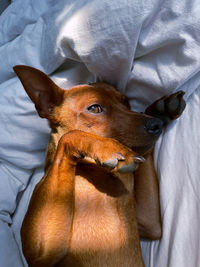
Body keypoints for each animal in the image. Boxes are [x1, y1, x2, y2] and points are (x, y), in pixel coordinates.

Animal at [13, 65, 186, 267]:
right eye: (95, 108)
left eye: (126, 102)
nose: (156, 123)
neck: (94, 172)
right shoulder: (42, 254)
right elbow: (69, 136)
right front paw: (106, 147)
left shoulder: (149, 223)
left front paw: (160, 110)